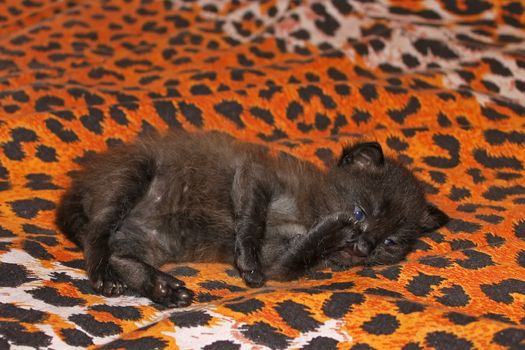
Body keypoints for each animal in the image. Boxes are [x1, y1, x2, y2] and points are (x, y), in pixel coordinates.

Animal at [56, 131, 446, 306]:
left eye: (390, 243)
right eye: (361, 211)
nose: (364, 247)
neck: (311, 208)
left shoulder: (283, 263)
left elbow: (299, 255)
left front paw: (328, 234)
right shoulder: (256, 173)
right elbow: (253, 220)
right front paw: (248, 261)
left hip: (150, 240)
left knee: (120, 253)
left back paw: (162, 287)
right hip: (133, 174)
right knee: (97, 235)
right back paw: (105, 275)